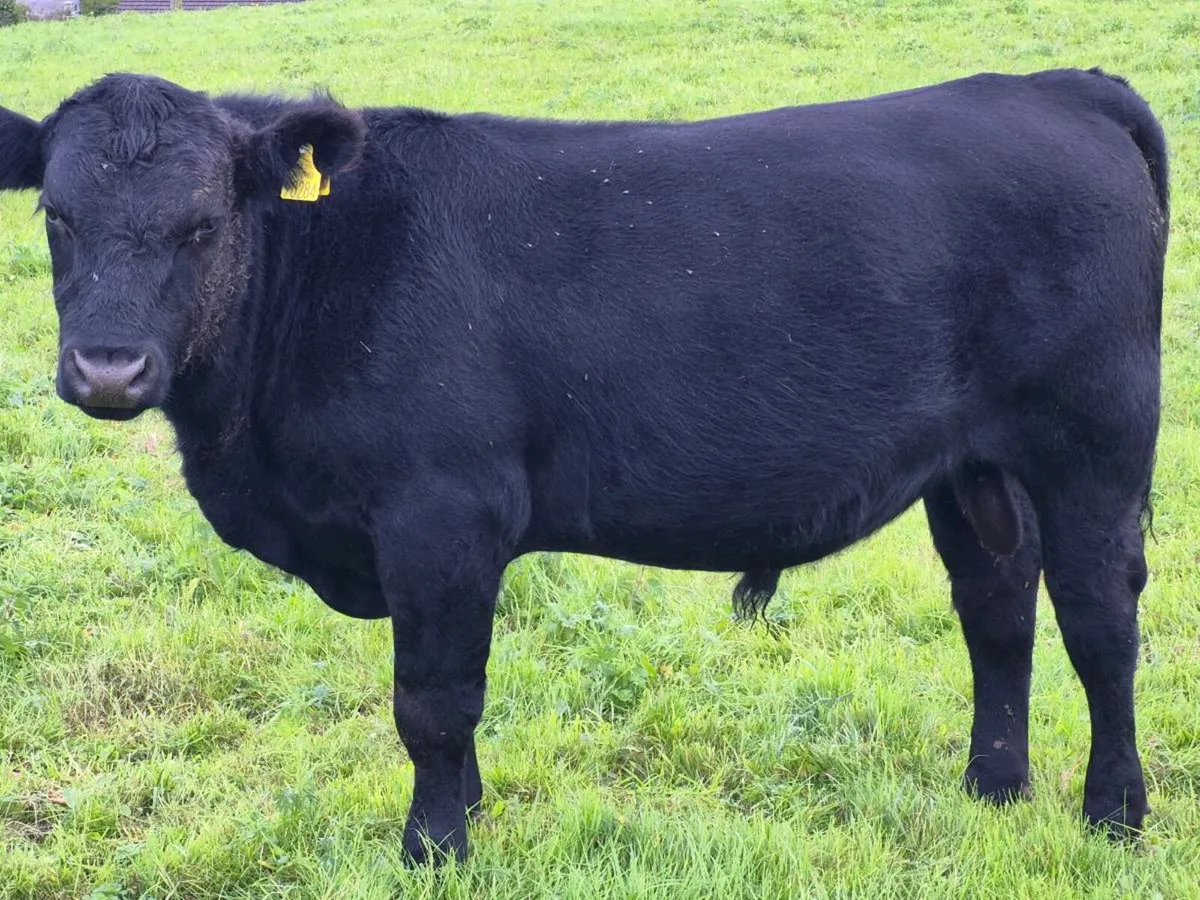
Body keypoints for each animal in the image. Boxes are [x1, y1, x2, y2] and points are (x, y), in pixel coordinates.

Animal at [0, 67, 1169, 863]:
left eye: (202, 225)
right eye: (57, 217)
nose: (107, 369)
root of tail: (1053, 87)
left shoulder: (441, 515)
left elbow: (433, 702)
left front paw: (434, 848)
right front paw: (466, 817)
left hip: (1095, 446)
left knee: (1101, 626)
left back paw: (1114, 813)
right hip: (974, 471)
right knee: (998, 612)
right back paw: (993, 788)